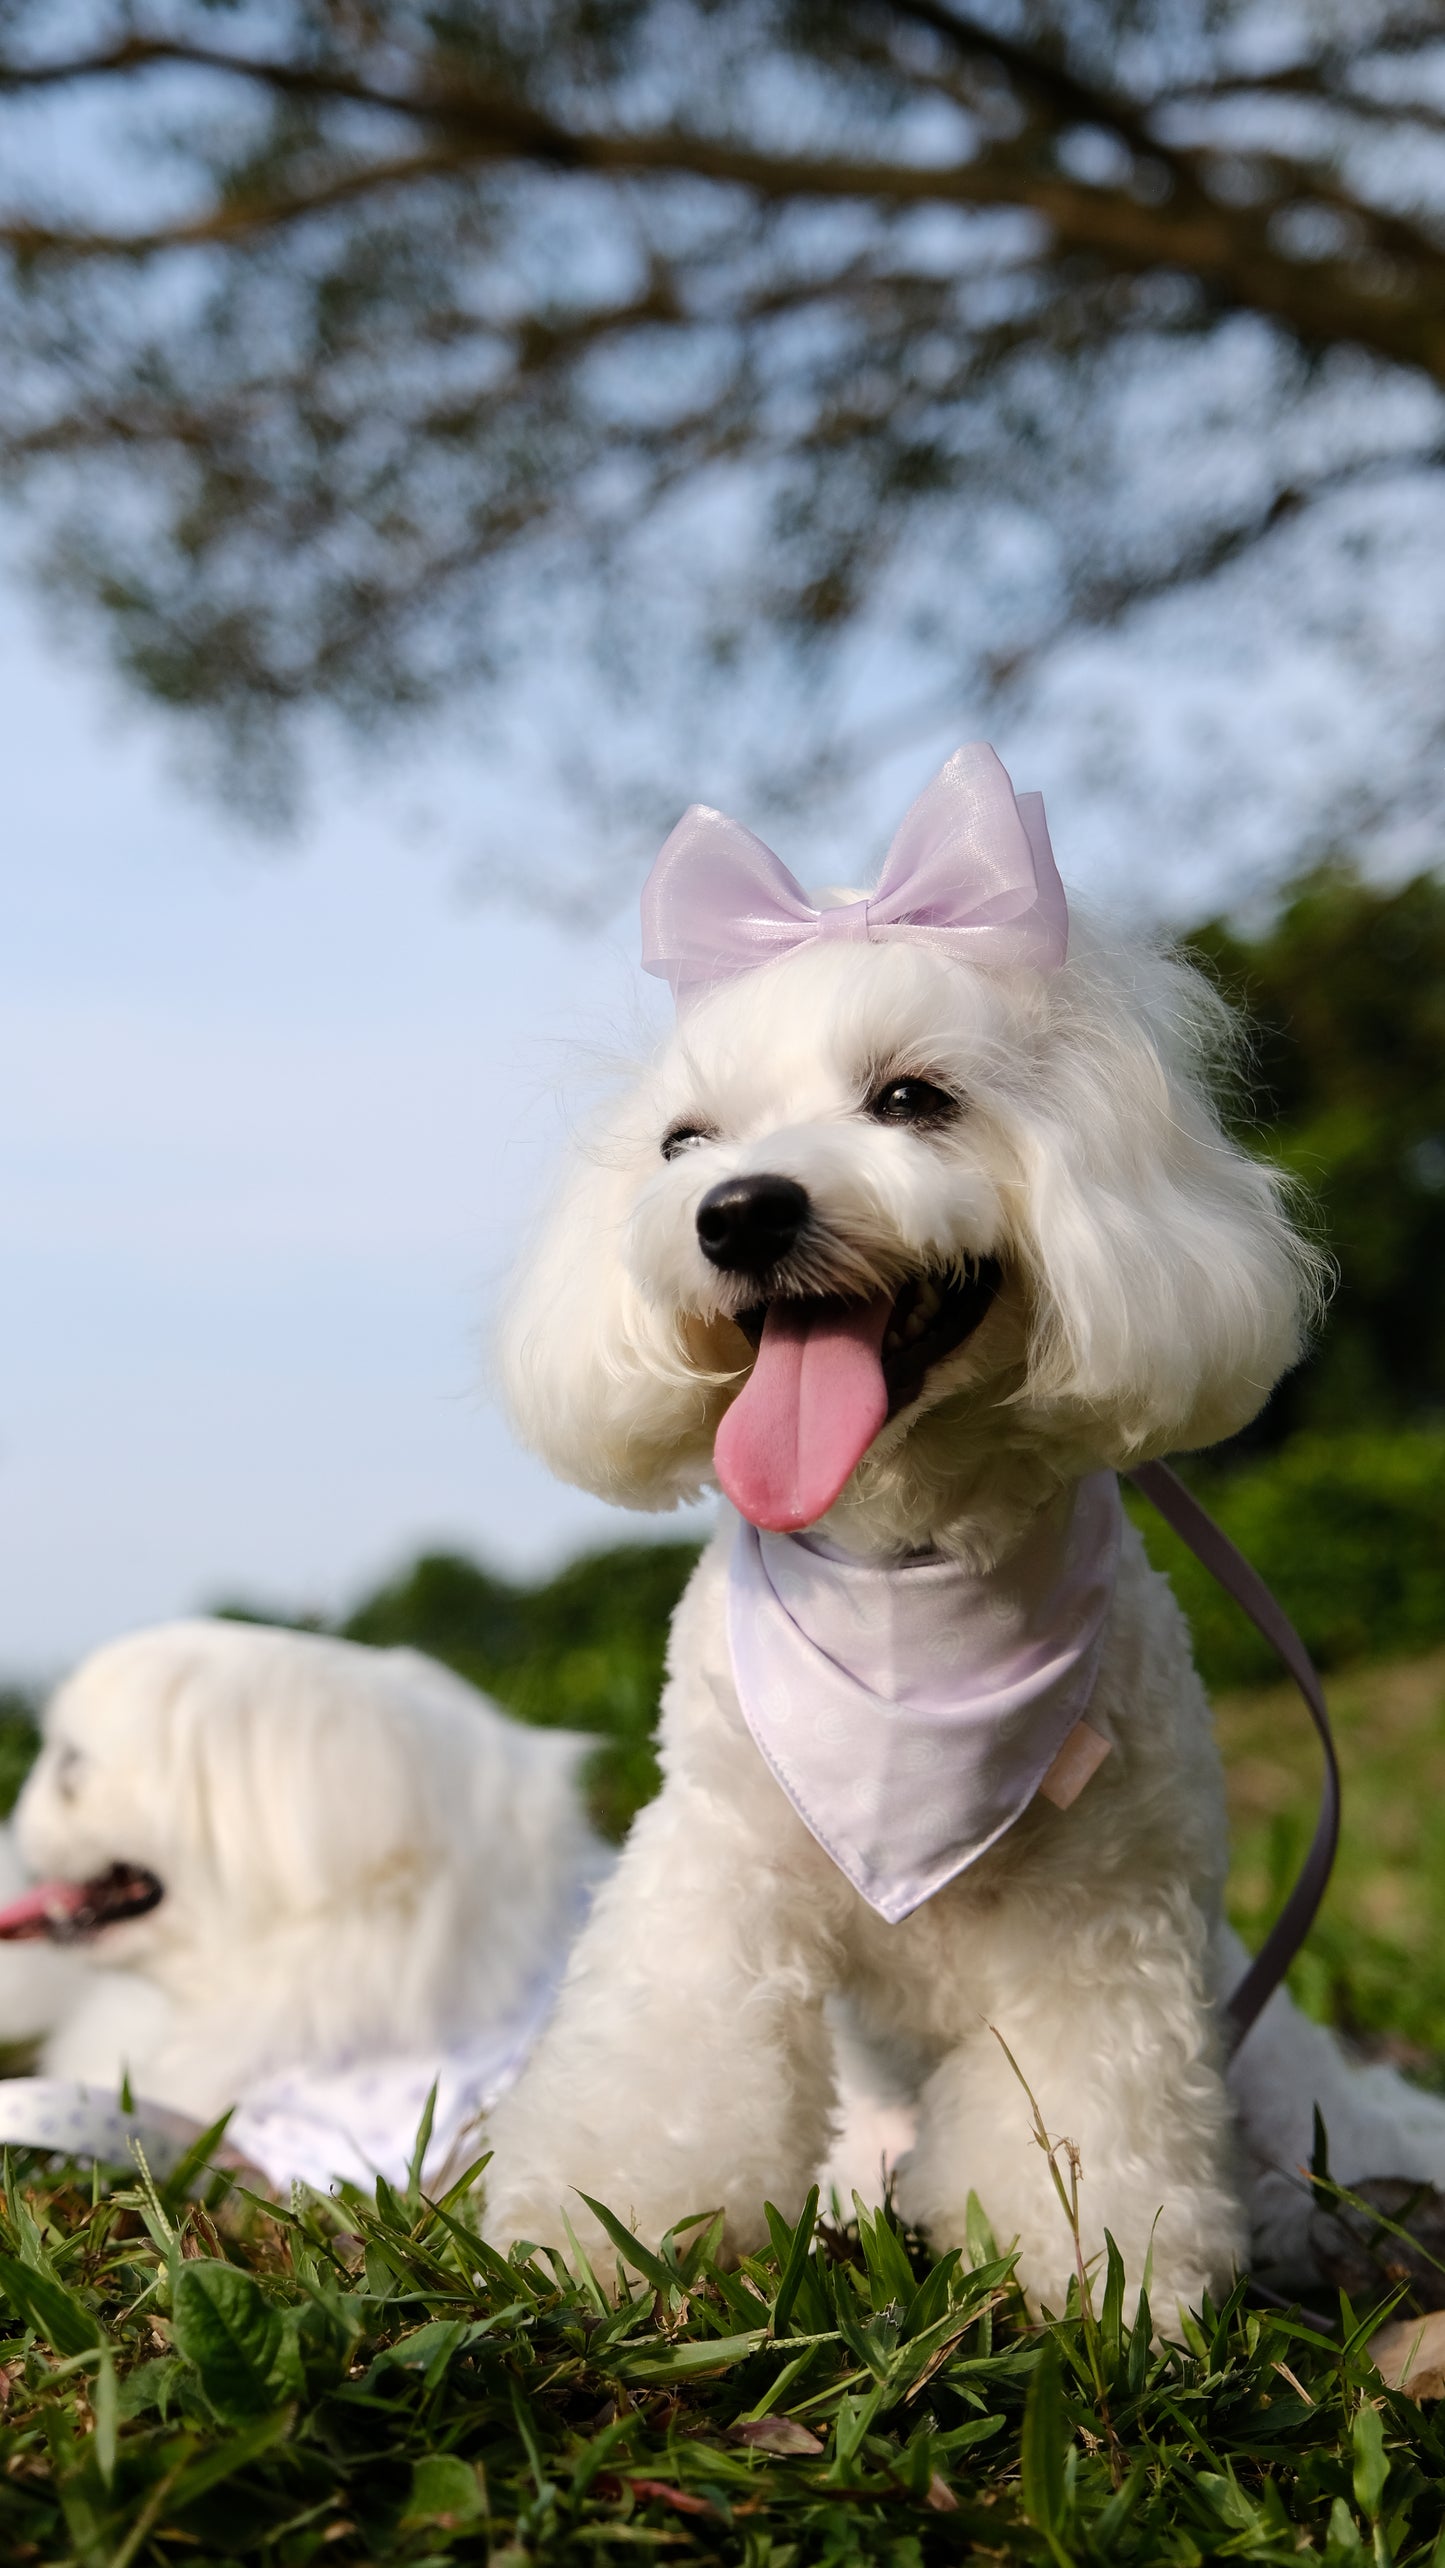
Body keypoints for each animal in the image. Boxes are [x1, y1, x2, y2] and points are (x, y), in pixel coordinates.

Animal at [479, 739, 1445, 2311]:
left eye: (912, 1099)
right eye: (685, 1142)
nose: (738, 1213)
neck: (903, 1561)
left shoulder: (1099, 1918)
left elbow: (1088, 2118)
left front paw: (1102, 2288)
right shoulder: (716, 1864)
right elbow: (662, 2071)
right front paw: (590, 2240)